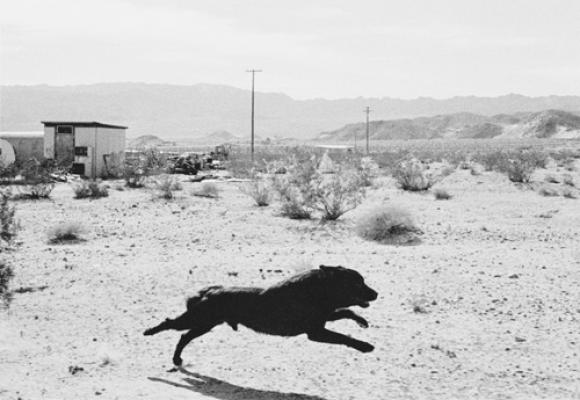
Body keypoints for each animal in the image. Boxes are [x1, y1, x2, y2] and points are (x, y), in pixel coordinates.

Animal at [145, 264, 378, 368]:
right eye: (357, 283)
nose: (376, 293)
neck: (319, 290)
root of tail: (207, 291)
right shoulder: (316, 332)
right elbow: (343, 336)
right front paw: (364, 346)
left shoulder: (322, 320)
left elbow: (346, 311)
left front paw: (362, 322)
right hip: (198, 320)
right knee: (169, 324)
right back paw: (149, 332)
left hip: (204, 324)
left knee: (184, 336)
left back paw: (176, 359)